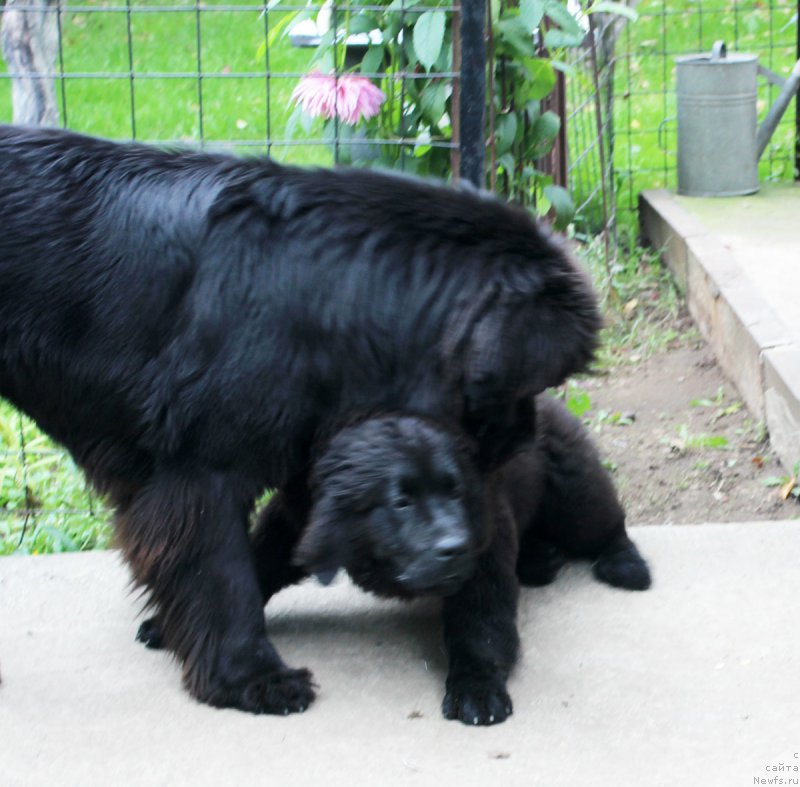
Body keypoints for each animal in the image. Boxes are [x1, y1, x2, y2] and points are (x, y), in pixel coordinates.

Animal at [0, 127, 600, 720]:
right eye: (528, 384)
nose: (528, 440)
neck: (341, 297)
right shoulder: (202, 472)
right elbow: (222, 576)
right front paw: (250, 678)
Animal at [139, 394, 648, 728]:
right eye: (401, 501)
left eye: (455, 491)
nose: (454, 546)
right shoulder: (294, 521)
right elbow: (251, 569)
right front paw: (169, 626)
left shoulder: (484, 545)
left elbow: (481, 626)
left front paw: (476, 688)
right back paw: (542, 560)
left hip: (571, 487)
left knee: (605, 521)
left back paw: (624, 565)